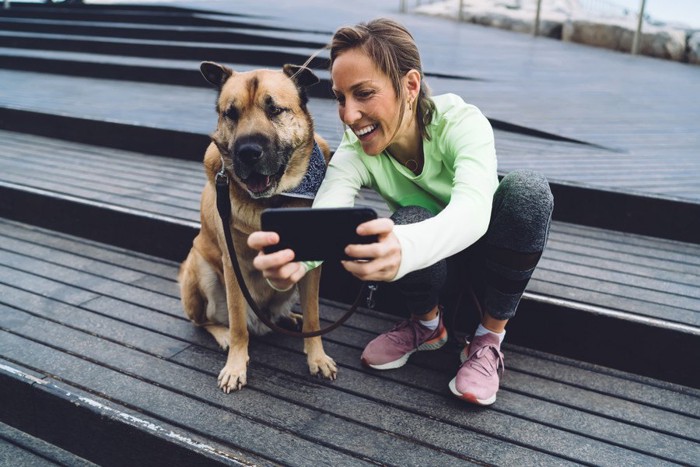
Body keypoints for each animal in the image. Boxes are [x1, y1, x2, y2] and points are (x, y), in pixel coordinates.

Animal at [178, 60, 336, 394]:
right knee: (206, 322)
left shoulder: (309, 265)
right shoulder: (232, 266)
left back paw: (287, 317)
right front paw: (236, 366)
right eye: (231, 113)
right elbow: (239, 325)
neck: (270, 201)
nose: (248, 152)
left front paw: (317, 357)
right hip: (201, 268)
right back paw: (223, 334)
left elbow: (315, 317)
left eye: (274, 109)